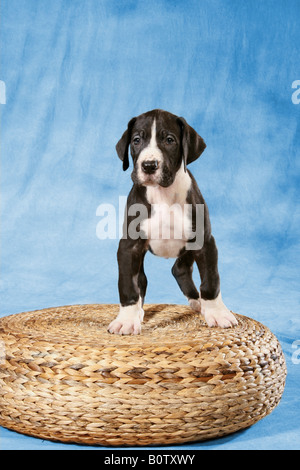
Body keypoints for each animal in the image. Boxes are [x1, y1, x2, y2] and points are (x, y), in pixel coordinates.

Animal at [108, 109, 237, 334]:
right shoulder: (129, 247)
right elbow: (127, 285)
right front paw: (127, 319)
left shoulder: (204, 242)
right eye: (136, 140)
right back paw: (139, 312)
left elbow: (211, 280)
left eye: (169, 140)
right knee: (143, 280)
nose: (149, 165)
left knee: (180, 269)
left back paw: (199, 303)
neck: (163, 194)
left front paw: (217, 312)